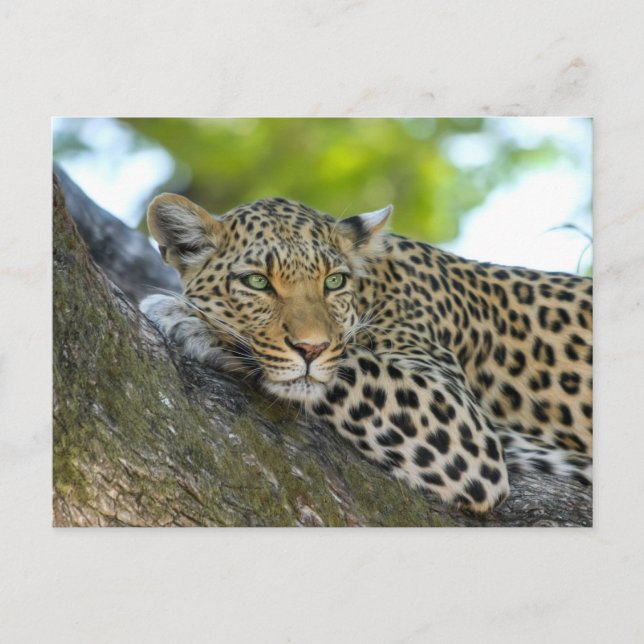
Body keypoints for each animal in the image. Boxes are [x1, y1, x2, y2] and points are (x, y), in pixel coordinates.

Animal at [140, 193, 592, 513]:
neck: (375, 287)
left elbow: (347, 364)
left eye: (334, 281)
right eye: (257, 282)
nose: (311, 348)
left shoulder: (462, 425)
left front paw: (191, 320)